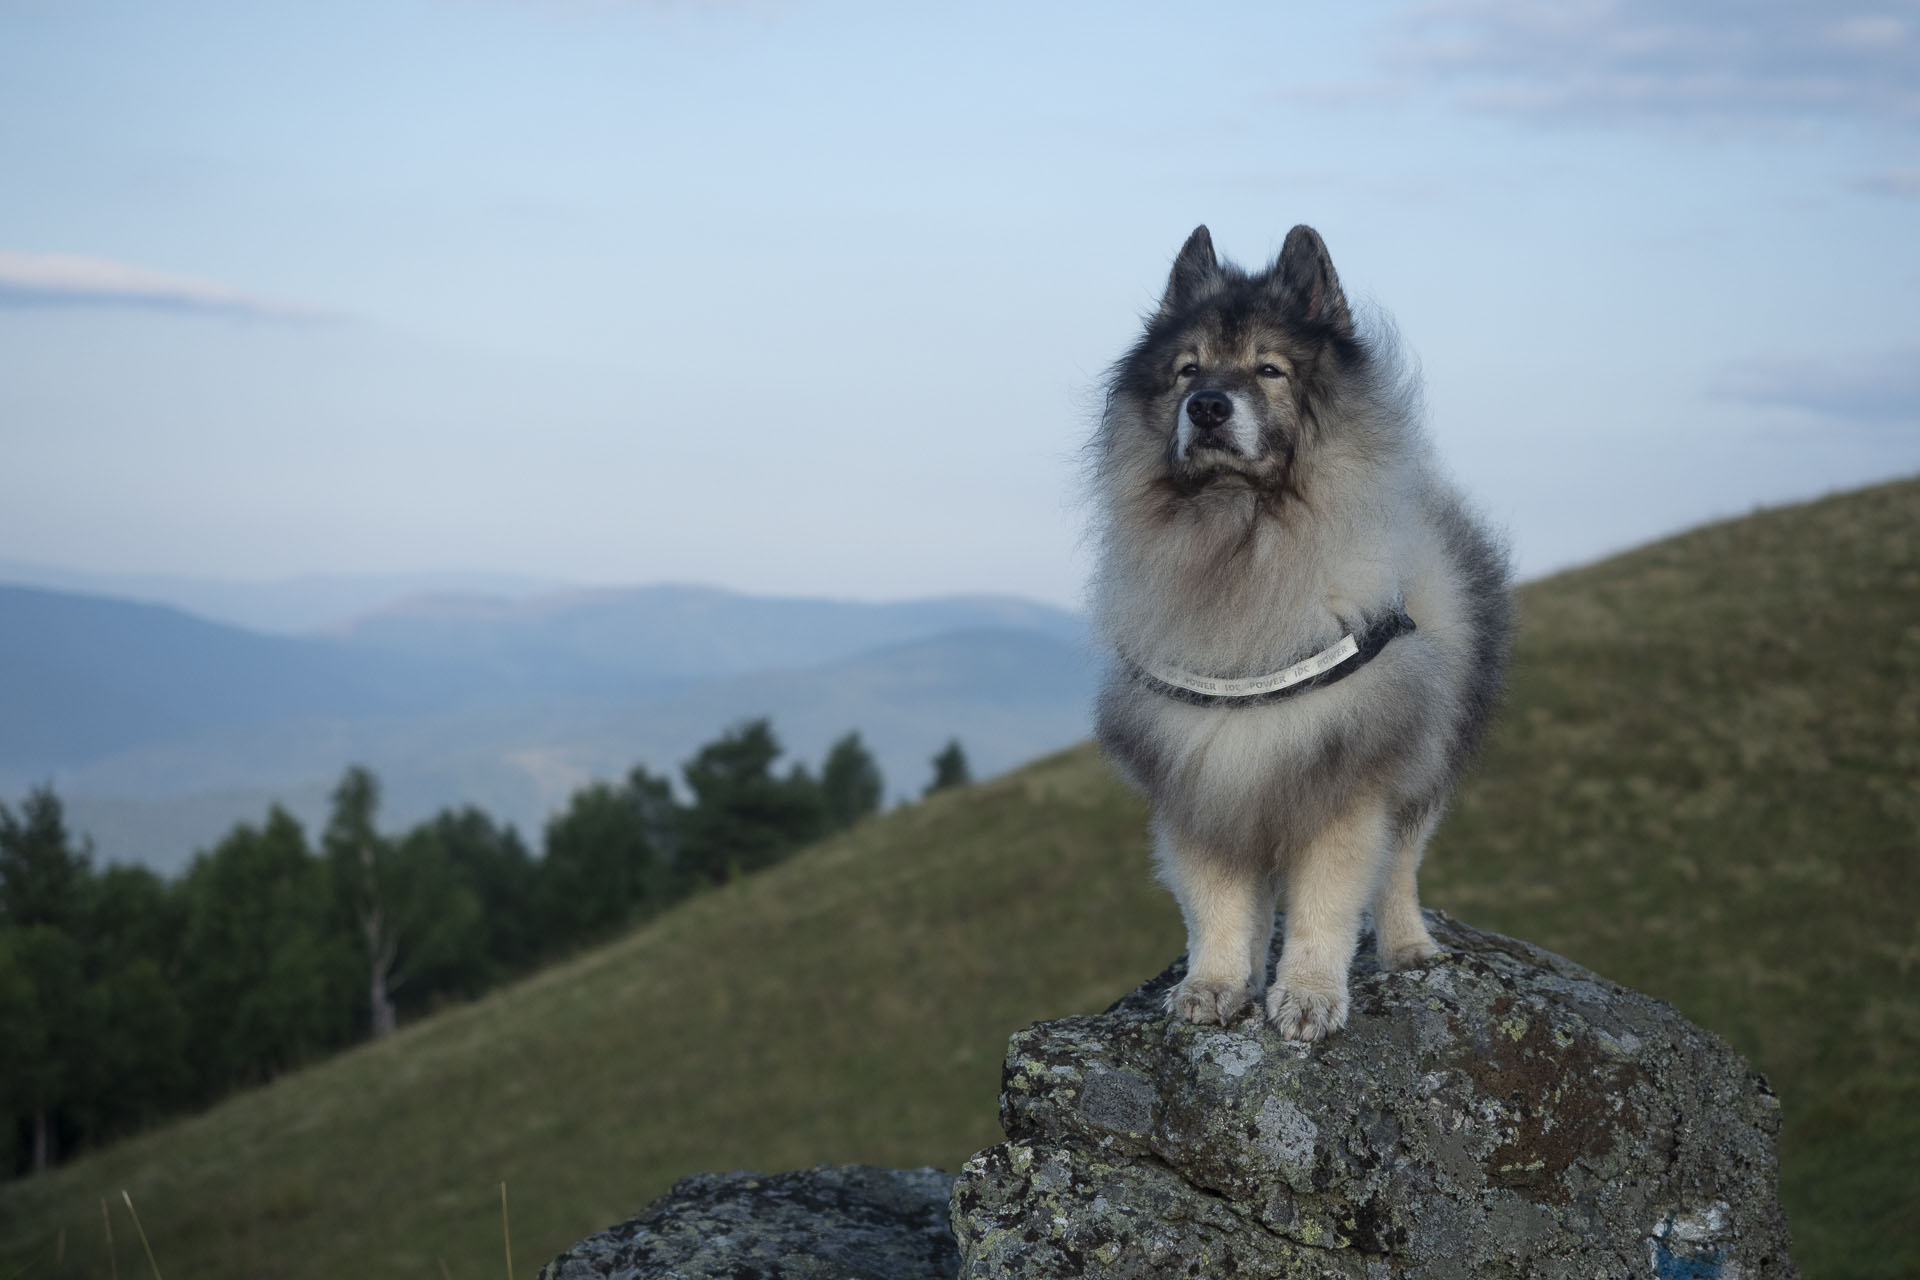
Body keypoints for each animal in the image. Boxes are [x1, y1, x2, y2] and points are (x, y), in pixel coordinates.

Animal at [1090, 222, 1505, 1043]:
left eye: (1269, 369)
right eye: (1188, 370)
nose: (1208, 407)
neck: (1242, 546)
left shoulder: (1345, 780)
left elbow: (1325, 907)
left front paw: (1309, 997)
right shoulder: (1205, 781)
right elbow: (1218, 906)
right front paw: (1216, 985)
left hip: (1422, 769)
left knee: (1400, 871)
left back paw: (1410, 948)